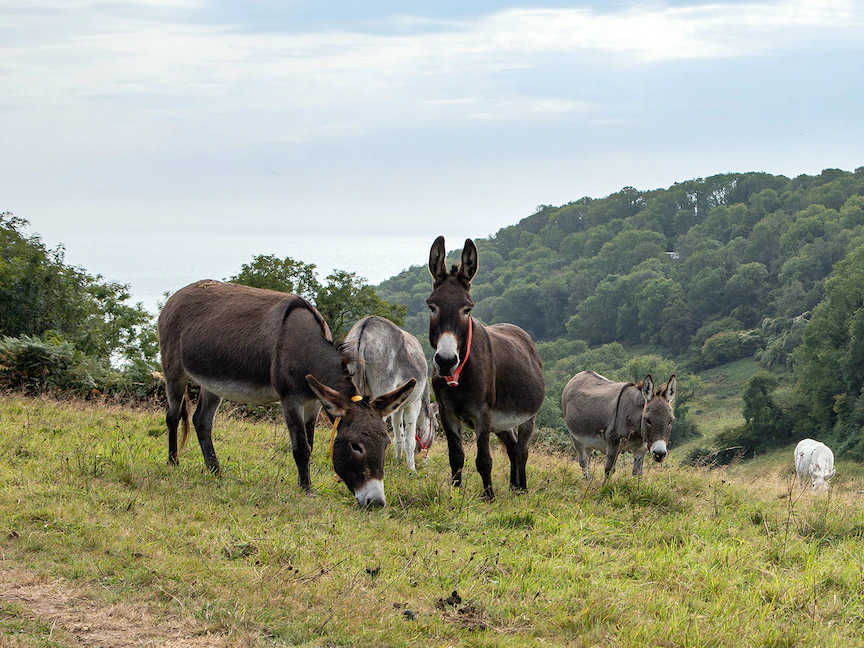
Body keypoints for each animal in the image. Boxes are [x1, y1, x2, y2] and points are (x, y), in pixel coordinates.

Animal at [157, 280, 415, 507]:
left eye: (386, 444)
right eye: (356, 446)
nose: (377, 502)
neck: (304, 347)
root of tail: (177, 295)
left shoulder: (314, 402)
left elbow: (310, 442)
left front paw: (305, 483)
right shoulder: (290, 399)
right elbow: (301, 447)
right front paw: (307, 490)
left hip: (213, 383)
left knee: (202, 421)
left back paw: (215, 471)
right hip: (174, 368)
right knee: (172, 415)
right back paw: (173, 462)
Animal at [344, 315, 438, 471]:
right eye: (435, 426)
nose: (425, 458)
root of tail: (364, 329)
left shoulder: (396, 408)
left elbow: (399, 437)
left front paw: (398, 463)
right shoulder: (413, 404)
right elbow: (409, 440)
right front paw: (411, 469)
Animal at [426, 237, 545, 501]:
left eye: (467, 309)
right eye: (431, 307)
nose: (446, 361)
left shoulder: (483, 413)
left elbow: (484, 459)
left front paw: (488, 497)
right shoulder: (448, 413)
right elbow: (456, 457)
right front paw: (456, 494)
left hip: (526, 417)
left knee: (521, 450)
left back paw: (522, 490)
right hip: (501, 421)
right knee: (511, 447)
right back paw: (513, 487)